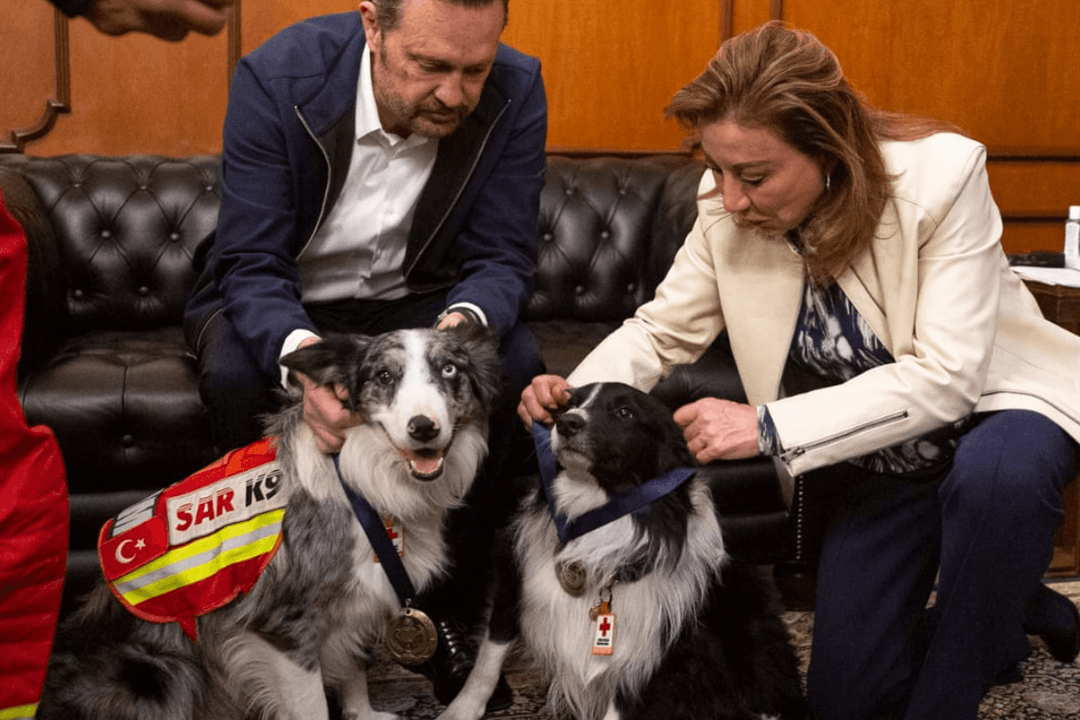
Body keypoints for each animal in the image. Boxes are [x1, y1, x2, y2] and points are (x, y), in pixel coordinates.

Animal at [36, 325, 501, 720]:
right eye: (385, 375)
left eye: (449, 369)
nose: (424, 428)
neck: (364, 483)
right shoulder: (284, 629)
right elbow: (313, 707)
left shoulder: (352, 604)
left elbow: (351, 670)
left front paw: (363, 715)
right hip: (161, 673)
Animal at [436, 386, 803, 720]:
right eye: (568, 404)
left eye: (625, 413)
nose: (567, 423)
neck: (597, 506)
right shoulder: (514, 577)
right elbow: (488, 657)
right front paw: (459, 711)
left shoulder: (647, 649)